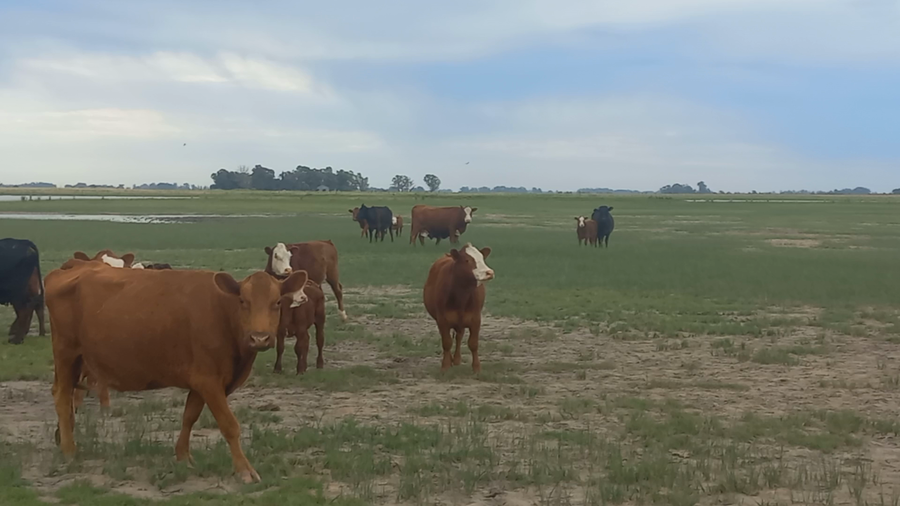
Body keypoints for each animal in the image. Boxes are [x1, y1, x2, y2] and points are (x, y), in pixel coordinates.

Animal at [45, 259, 309, 484]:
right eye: (243, 301)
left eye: (277, 302)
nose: (259, 337)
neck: (223, 313)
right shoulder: (208, 381)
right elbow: (229, 425)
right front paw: (244, 470)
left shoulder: (200, 382)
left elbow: (189, 416)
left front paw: (183, 456)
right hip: (66, 352)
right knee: (62, 396)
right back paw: (69, 449)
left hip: (78, 359)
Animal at [423, 243, 494, 373]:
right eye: (467, 260)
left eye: (482, 258)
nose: (489, 272)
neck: (461, 297)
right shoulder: (442, 320)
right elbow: (446, 342)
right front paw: (445, 365)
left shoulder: (476, 319)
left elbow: (473, 343)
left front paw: (477, 367)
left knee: (459, 337)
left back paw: (456, 360)